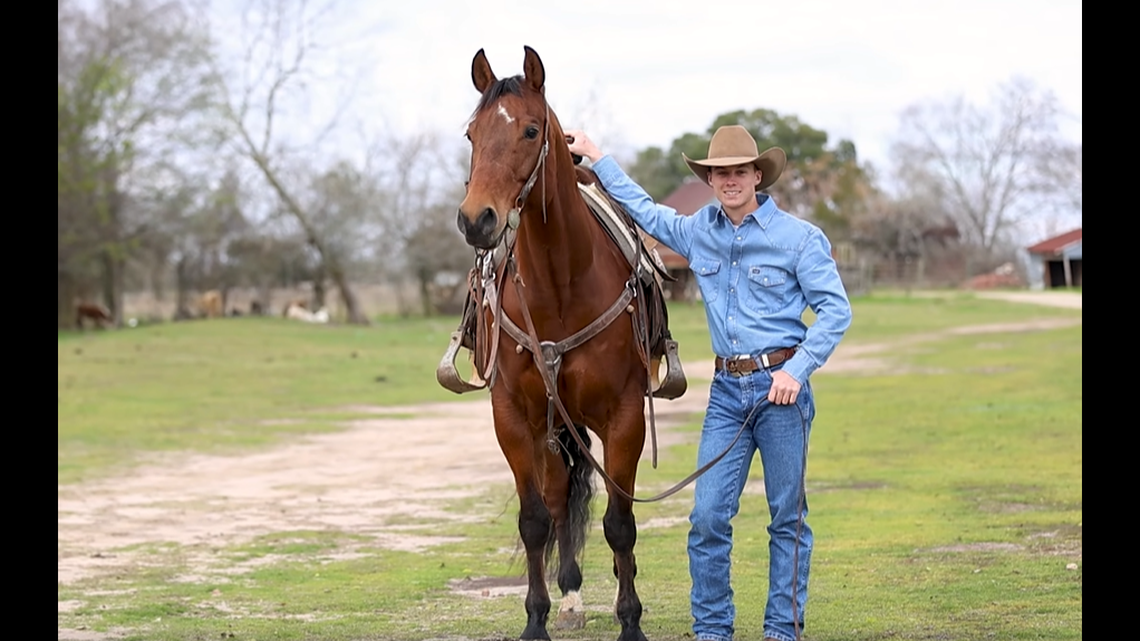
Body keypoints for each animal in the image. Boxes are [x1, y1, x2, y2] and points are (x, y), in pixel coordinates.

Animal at [452, 45, 670, 641]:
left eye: (530, 130)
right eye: (471, 133)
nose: (476, 219)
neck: (559, 285)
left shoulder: (624, 416)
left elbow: (621, 523)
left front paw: (631, 621)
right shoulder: (513, 417)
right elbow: (534, 521)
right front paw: (536, 620)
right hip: (554, 428)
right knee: (555, 500)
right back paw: (568, 597)